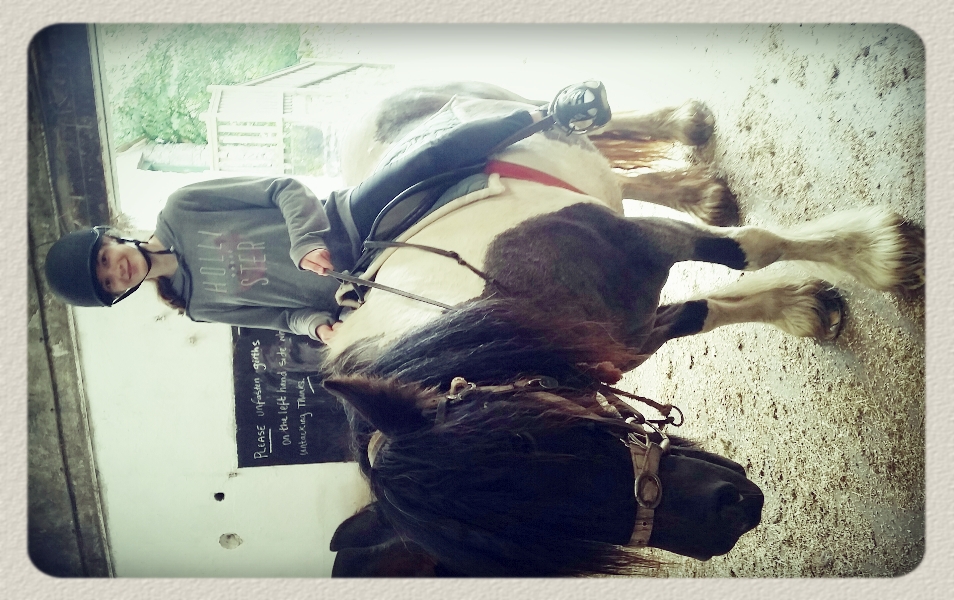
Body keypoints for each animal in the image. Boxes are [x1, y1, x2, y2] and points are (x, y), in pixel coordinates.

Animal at [319, 82, 925, 577]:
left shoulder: (643, 243)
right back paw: (696, 187)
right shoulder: (628, 334)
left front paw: (875, 252)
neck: (509, 296)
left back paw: (675, 123)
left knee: (584, 124)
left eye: (548, 445)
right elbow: (699, 310)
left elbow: (748, 251)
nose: (731, 515)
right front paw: (800, 305)